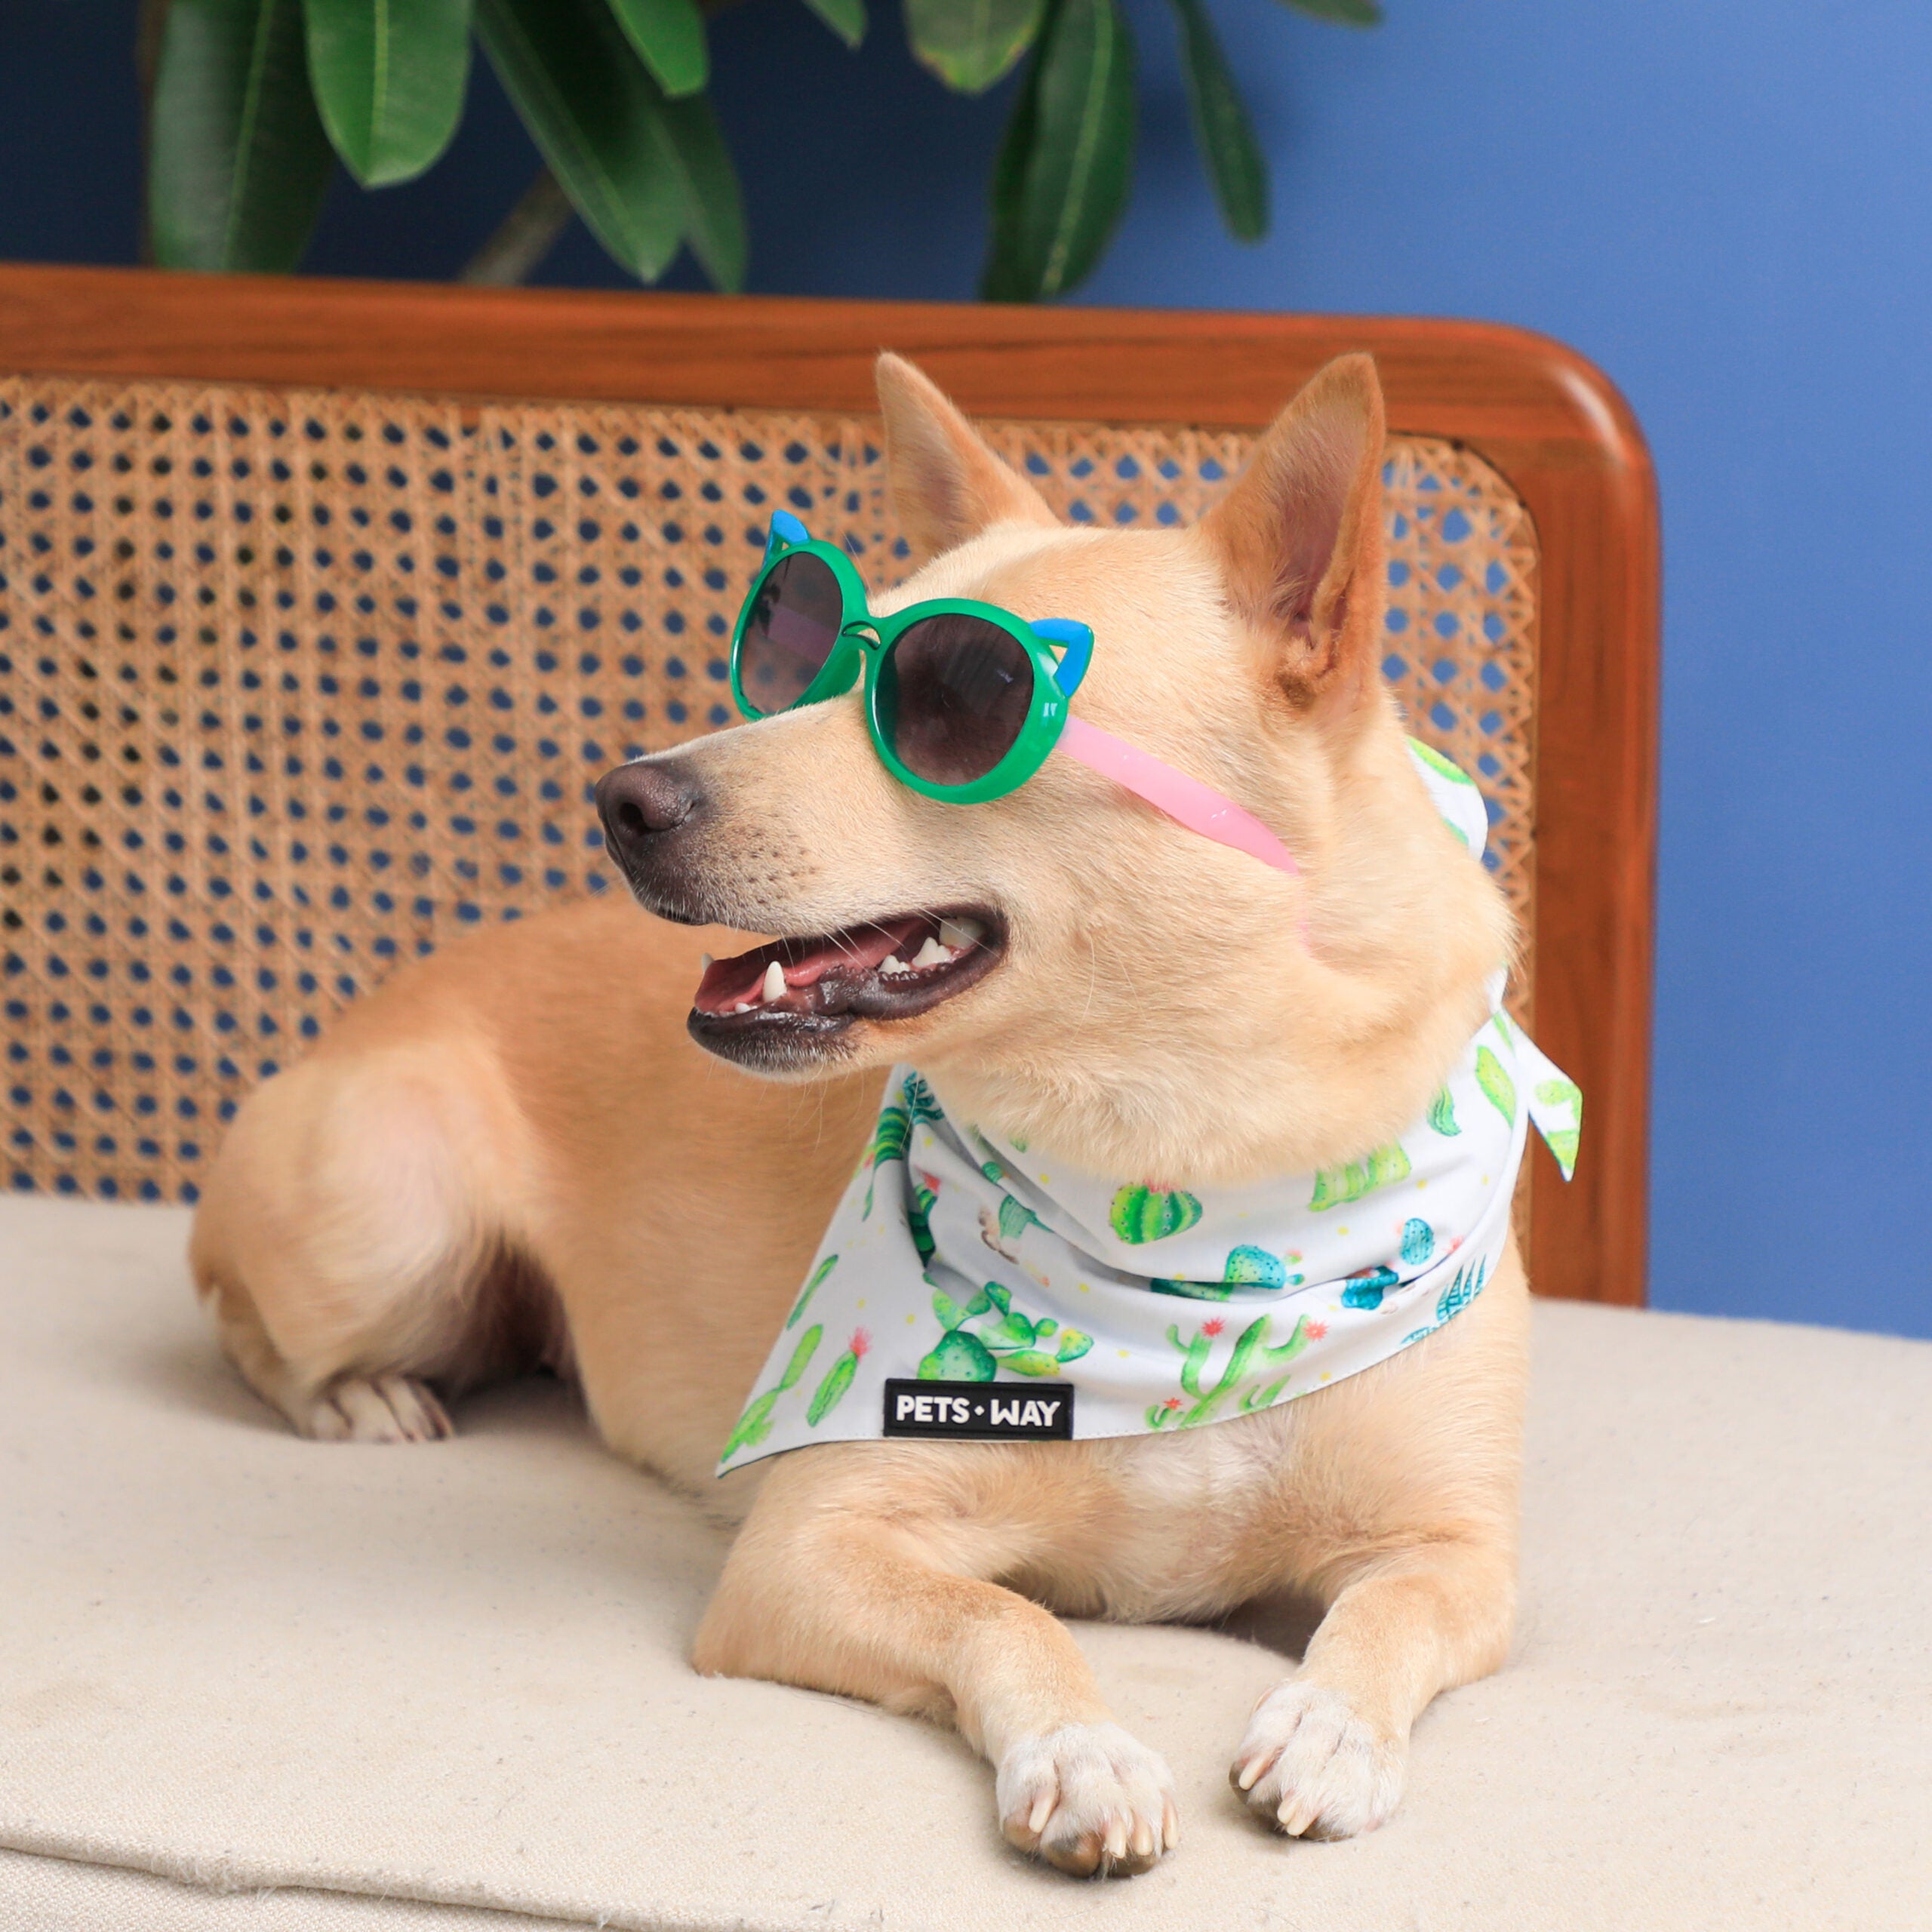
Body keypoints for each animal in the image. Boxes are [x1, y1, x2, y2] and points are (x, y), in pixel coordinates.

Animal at [192, 347, 1522, 1870]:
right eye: (808, 665)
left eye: (959, 700)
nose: (622, 797)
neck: (1174, 1185)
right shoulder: (806, 1549)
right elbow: (1001, 1612)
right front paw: (1081, 1750)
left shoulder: (1464, 1551)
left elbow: (1394, 1608)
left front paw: (1332, 1726)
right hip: (391, 1220)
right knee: (244, 1317)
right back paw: (359, 1395)